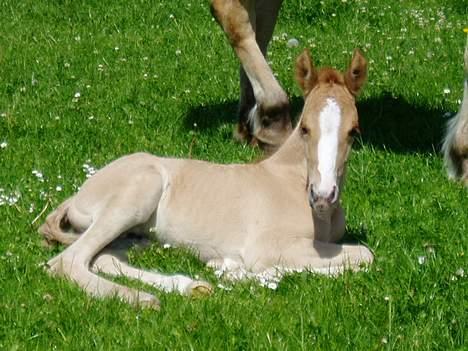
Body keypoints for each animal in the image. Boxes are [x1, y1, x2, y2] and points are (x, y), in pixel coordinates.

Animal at [39, 48, 372, 310]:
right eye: (304, 128)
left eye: (353, 131)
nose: (323, 196)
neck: (291, 180)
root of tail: (80, 193)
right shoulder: (268, 246)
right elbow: (364, 256)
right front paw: (235, 270)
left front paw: (224, 267)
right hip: (139, 193)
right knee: (66, 262)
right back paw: (142, 300)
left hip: (135, 235)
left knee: (105, 258)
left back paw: (191, 287)